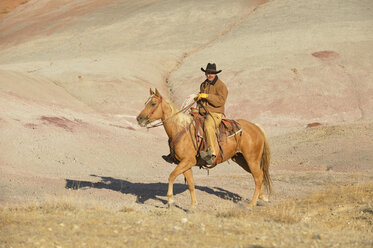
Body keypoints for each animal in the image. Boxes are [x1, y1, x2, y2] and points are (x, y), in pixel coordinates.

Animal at [136, 89, 270, 209]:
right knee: (260, 175)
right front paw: (193, 206)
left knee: (258, 177)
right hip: (242, 159)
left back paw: (251, 204)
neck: (181, 129)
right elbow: (190, 184)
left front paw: (170, 201)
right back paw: (262, 198)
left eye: (153, 103)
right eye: (146, 103)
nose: (139, 119)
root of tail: (256, 127)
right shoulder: (186, 163)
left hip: (251, 159)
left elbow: (171, 176)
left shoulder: (187, 161)